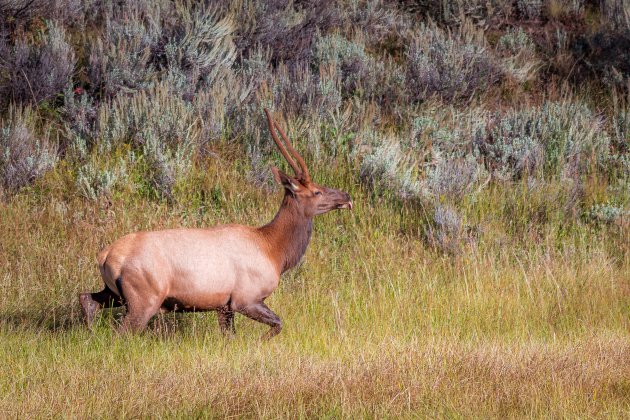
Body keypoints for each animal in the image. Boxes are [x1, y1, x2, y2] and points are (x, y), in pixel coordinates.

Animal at [79, 108, 354, 338]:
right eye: (317, 191)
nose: (347, 197)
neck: (274, 251)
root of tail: (106, 256)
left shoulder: (224, 305)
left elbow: (230, 337)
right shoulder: (245, 298)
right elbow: (277, 324)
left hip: (116, 294)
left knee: (87, 299)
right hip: (144, 298)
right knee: (121, 332)